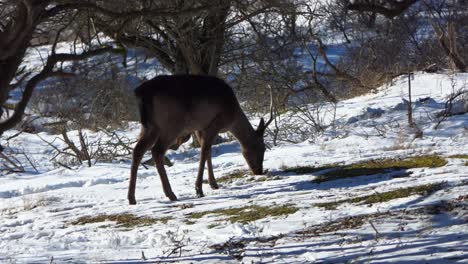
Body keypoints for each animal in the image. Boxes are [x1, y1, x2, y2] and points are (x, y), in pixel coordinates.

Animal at [128, 74, 274, 204]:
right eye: (262, 148)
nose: (259, 171)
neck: (232, 117)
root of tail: (140, 92)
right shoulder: (215, 123)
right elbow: (204, 152)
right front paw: (199, 189)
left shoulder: (199, 128)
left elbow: (207, 152)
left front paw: (213, 184)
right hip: (171, 124)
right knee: (157, 150)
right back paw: (171, 194)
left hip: (149, 126)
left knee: (138, 150)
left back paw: (132, 198)